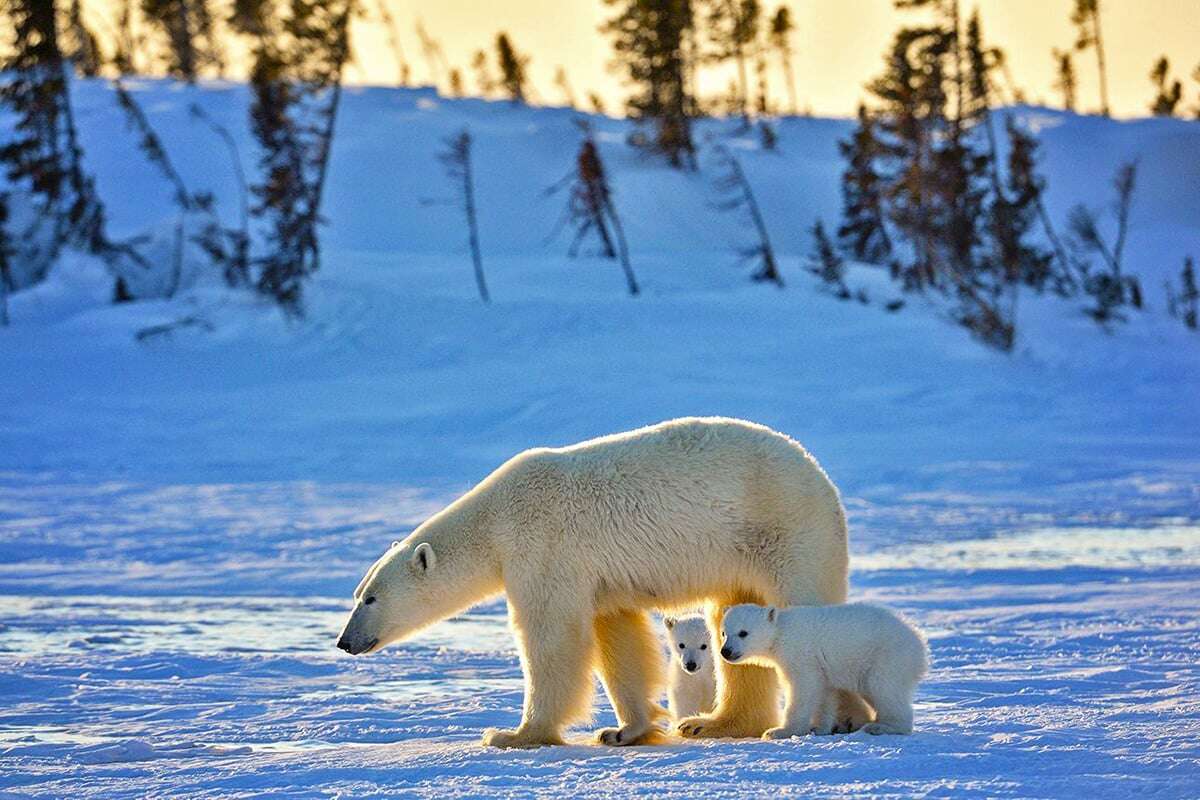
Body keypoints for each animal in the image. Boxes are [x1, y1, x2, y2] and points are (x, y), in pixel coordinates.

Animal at [336, 416, 873, 747]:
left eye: (371, 598)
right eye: (358, 594)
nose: (345, 641)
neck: (496, 518)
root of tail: (822, 479)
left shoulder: (543, 546)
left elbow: (551, 637)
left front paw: (514, 735)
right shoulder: (599, 579)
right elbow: (617, 636)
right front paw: (625, 730)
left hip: (784, 530)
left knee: (805, 607)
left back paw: (847, 718)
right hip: (742, 554)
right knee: (733, 618)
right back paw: (712, 723)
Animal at [719, 603, 928, 739]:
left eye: (743, 633)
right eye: (724, 633)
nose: (725, 651)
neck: (780, 632)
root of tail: (920, 644)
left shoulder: (800, 654)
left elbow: (804, 689)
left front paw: (779, 731)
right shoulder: (818, 666)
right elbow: (825, 692)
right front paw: (822, 728)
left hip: (887, 657)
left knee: (883, 689)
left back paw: (880, 727)